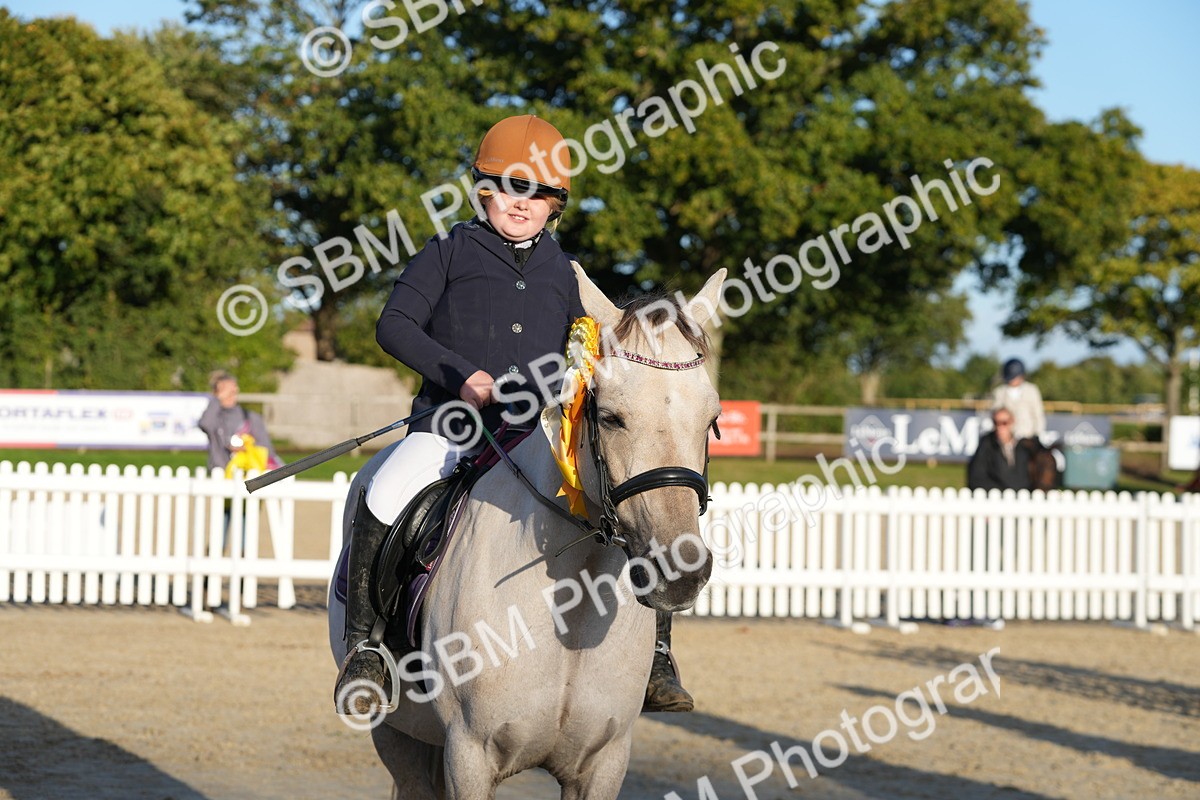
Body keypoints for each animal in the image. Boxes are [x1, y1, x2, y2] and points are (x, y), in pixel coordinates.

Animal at [328, 264, 727, 799]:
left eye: (712, 419)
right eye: (610, 417)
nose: (679, 574)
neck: (572, 606)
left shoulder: (604, 764)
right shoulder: (470, 756)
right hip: (398, 737)